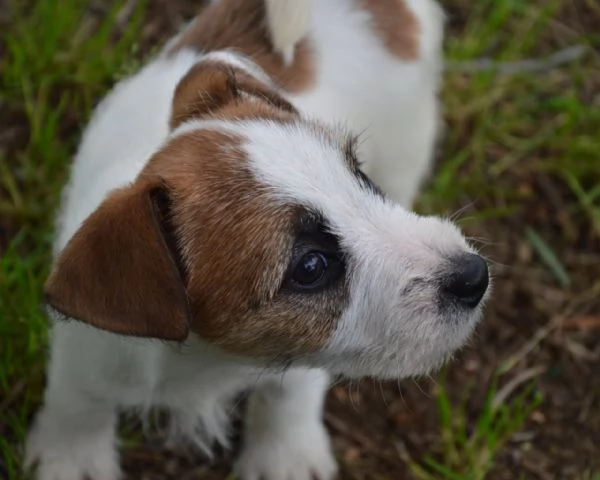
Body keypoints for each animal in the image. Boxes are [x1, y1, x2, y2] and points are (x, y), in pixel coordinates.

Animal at [25, 0, 490, 480]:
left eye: (358, 177)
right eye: (310, 266)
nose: (476, 275)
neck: (207, 362)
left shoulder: (302, 358)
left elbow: (287, 396)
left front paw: (285, 456)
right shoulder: (87, 359)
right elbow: (78, 404)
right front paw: (71, 457)